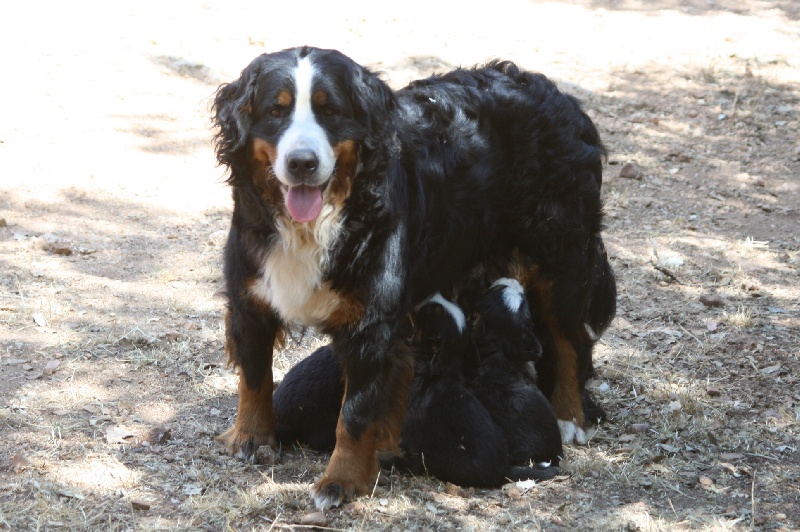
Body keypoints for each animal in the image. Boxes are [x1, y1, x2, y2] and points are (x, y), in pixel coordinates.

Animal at [211, 46, 615, 508]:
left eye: (330, 111)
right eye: (275, 111)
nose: (302, 163)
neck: (316, 226)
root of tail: (554, 92)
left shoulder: (370, 325)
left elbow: (356, 413)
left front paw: (342, 480)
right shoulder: (250, 295)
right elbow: (254, 375)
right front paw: (251, 436)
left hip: (561, 253)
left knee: (569, 338)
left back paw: (570, 416)